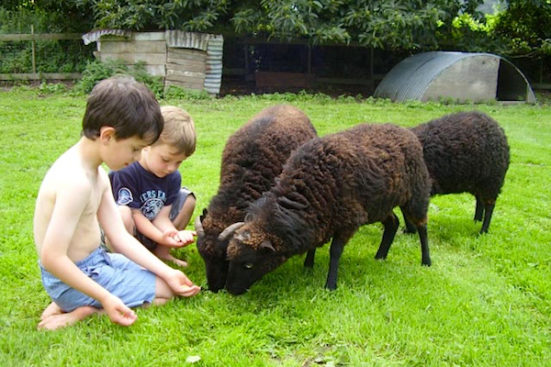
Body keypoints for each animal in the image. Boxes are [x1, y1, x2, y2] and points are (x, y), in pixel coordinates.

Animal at [222, 123, 434, 296]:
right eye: (229, 258)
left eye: (248, 264)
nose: (230, 291)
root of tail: (407, 132)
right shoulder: (321, 217)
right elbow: (314, 244)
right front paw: (308, 265)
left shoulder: (348, 220)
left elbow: (335, 251)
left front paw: (330, 285)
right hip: (378, 205)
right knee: (393, 223)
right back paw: (380, 257)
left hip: (416, 193)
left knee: (422, 226)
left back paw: (426, 261)